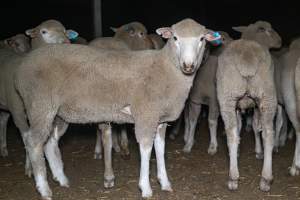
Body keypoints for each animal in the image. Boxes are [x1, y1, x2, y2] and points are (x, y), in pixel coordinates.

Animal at [13, 18, 216, 198]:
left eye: (201, 39)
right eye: (174, 38)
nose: (188, 65)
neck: (165, 68)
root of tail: (22, 67)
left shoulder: (159, 119)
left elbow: (160, 148)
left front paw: (165, 183)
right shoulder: (145, 114)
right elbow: (146, 148)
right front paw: (145, 188)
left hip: (58, 113)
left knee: (50, 141)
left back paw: (61, 179)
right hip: (39, 105)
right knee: (33, 141)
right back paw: (44, 189)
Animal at [216, 21, 282, 191]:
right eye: (267, 30)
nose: (279, 41)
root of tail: (247, 58)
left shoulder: (241, 106)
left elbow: (246, 127)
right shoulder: (250, 105)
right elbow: (253, 127)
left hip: (227, 97)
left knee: (232, 134)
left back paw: (233, 178)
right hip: (267, 96)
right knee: (268, 133)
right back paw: (265, 179)